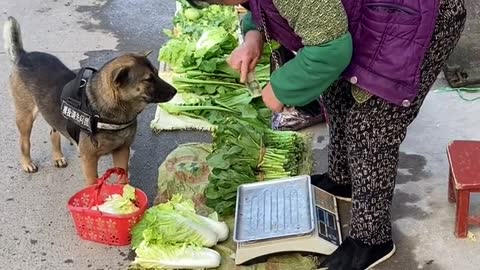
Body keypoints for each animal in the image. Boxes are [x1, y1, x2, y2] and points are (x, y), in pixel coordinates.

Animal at [3, 16, 176, 186]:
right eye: (148, 79)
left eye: (157, 74)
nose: (175, 91)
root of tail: (23, 55)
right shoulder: (89, 159)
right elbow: (93, 183)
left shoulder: (122, 151)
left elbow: (123, 179)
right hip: (25, 117)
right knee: (24, 142)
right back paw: (27, 163)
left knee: (53, 132)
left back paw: (58, 157)